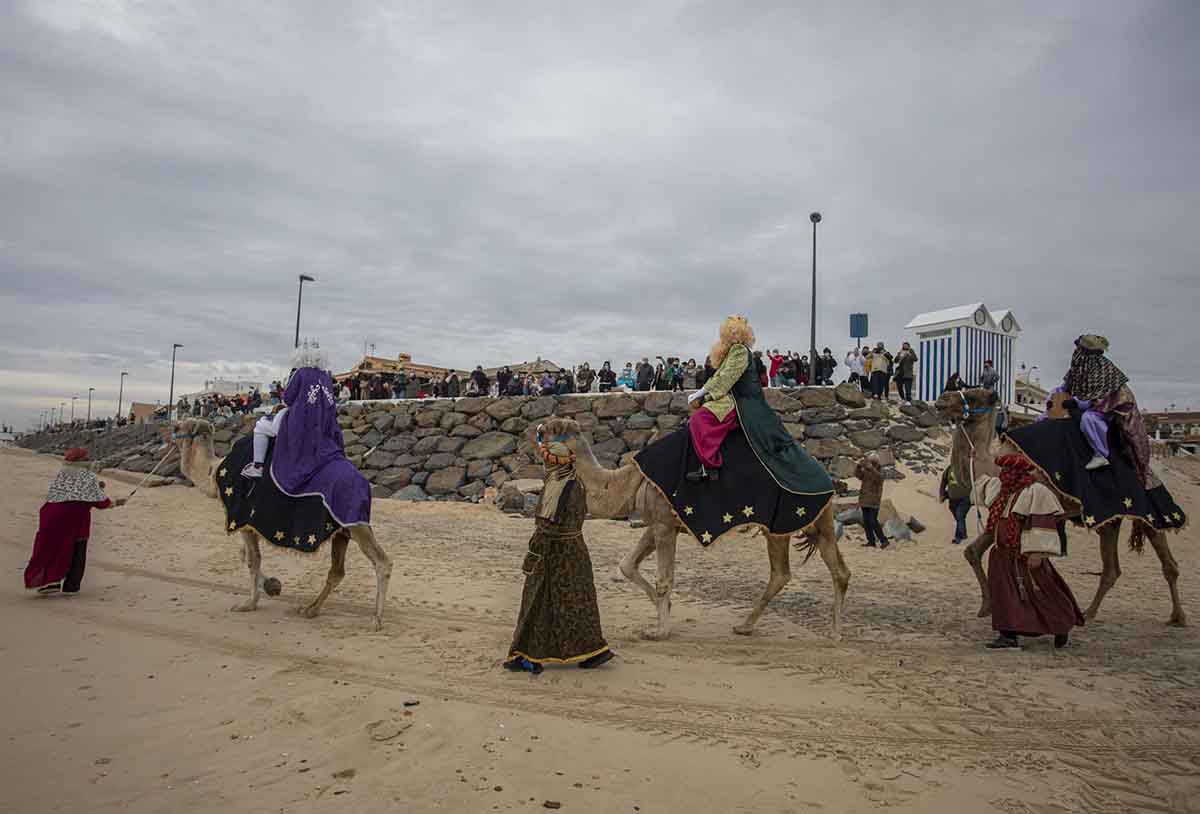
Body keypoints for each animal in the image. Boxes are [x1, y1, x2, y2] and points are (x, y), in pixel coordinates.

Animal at [169, 420, 391, 629]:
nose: (171, 432)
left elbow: (252, 559)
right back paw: (310, 609)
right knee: (337, 571)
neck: (212, 473)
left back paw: (376, 619)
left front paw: (249, 603)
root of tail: (365, 484)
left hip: (355, 524)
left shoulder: (242, 518)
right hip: (342, 531)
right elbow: (245, 555)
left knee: (381, 562)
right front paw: (272, 586)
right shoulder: (250, 523)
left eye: (178, 427)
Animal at [549, 420, 849, 643]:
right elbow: (627, 565)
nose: (539, 428)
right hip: (817, 522)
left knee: (784, 573)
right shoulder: (658, 523)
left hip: (782, 523)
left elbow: (663, 579)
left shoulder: (663, 524)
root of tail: (825, 472)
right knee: (835, 569)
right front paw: (664, 609)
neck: (629, 481)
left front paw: (659, 631)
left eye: (553, 428)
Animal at [931, 386, 1185, 624]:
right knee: (1111, 569)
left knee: (1167, 560)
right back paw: (1089, 613)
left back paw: (1178, 617)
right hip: (1108, 521)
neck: (996, 465)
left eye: (974, 396)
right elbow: (972, 551)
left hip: (1148, 511)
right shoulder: (1002, 506)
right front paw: (987, 607)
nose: (941, 399)